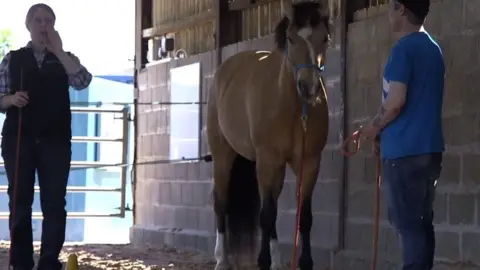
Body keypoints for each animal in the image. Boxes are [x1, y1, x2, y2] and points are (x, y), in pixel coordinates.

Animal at [206, 0, 334, 268]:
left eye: (325, 38)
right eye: (291, 38)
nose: (309, 87)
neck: (293, 108)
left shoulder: (309, 163)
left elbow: (304, 216)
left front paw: (305, 262)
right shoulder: (266, 161)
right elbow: (266, 215)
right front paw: (262, 260)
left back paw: (276, 260)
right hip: (224, 156)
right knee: (221, 203)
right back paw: (222, 259)